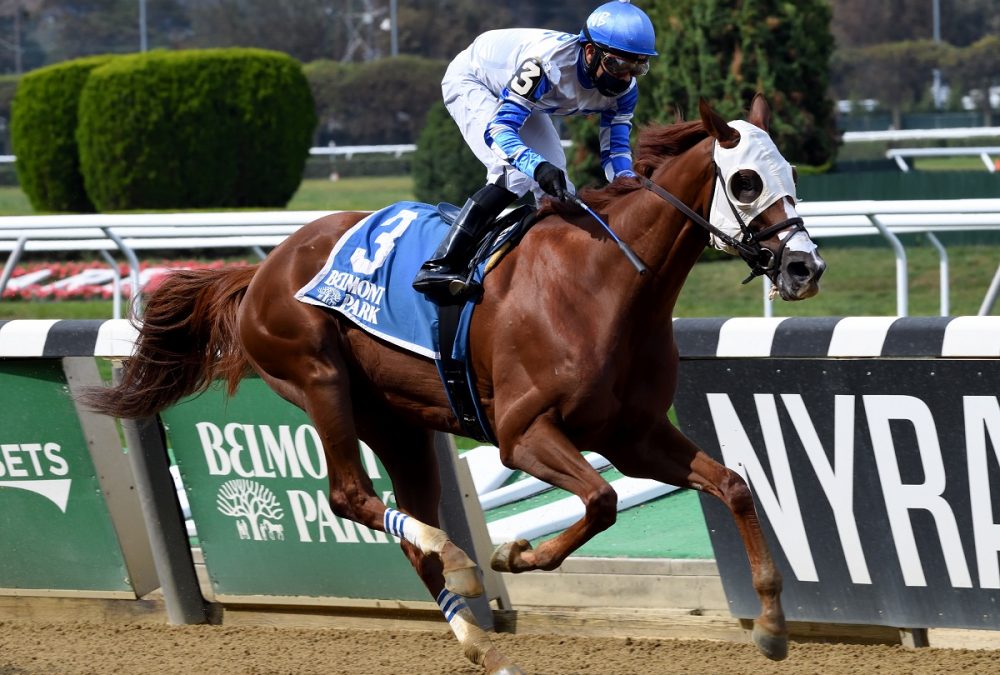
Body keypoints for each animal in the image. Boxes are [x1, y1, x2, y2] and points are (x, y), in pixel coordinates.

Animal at [86, 93, 824, 672]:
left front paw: (771, 624)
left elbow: (731, 485)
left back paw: (481, 643)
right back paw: (464, 562)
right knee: (350, 495)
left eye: (793, 172)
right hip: (319, 377)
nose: (804, 267)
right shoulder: (522, 434)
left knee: (407, 526)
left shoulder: (632, 433)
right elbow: (603, 500)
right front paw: (514, 552)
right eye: (747, 180)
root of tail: (261, 269)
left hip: (400, 424)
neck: (604, 283)